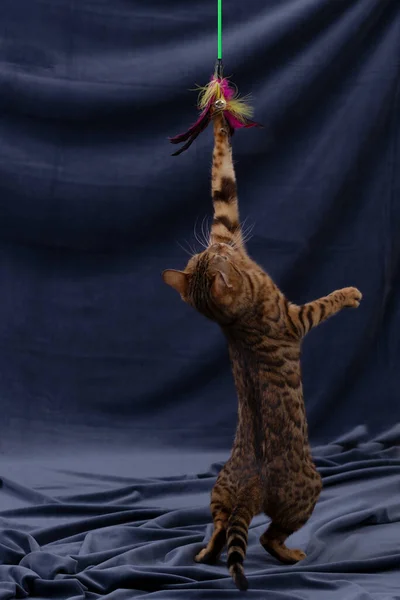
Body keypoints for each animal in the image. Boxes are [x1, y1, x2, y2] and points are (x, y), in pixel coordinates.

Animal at [162, 112, 362, 592]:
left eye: (211, 252)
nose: (220, 247)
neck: (234, 316)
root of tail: (250, 486)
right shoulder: (292, 319)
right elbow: (324, 304)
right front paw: (349, 294)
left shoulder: (225, 219)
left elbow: (222, 181)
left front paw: (219, 118)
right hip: (308, 489)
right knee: (269, 536)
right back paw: (292, 555)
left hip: (219, 490)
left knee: (220, 531)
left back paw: (203, 553)